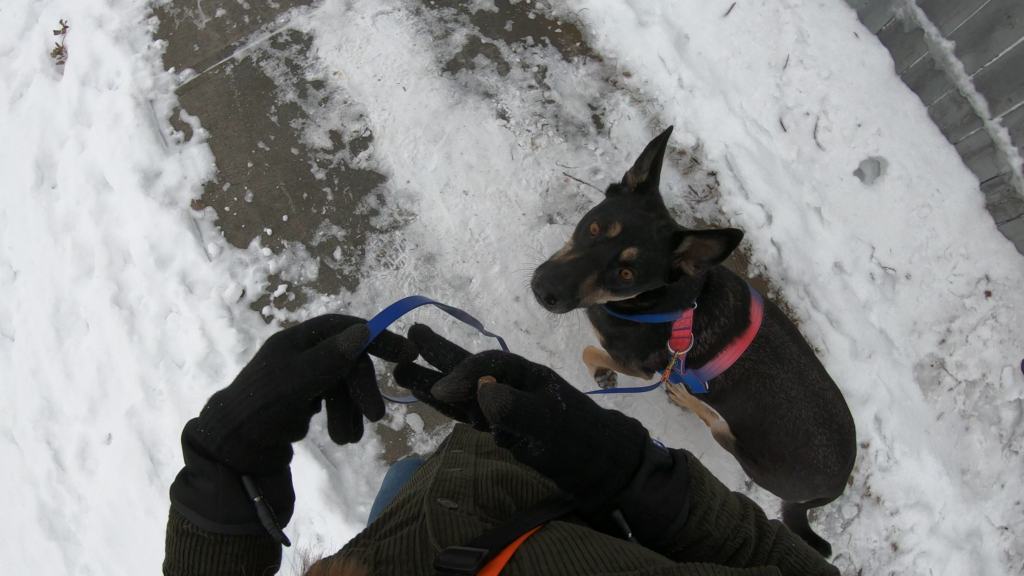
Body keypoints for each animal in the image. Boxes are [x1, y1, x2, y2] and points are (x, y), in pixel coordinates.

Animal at [532, 127, 860, 553]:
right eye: (594, 228)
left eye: (626, 273)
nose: (545, 290)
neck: (665, 301)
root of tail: (837, 485)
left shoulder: (640, 366)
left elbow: (592, 350)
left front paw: (603, 375)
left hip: (748, 455)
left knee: (717, 426)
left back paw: (684, 394)